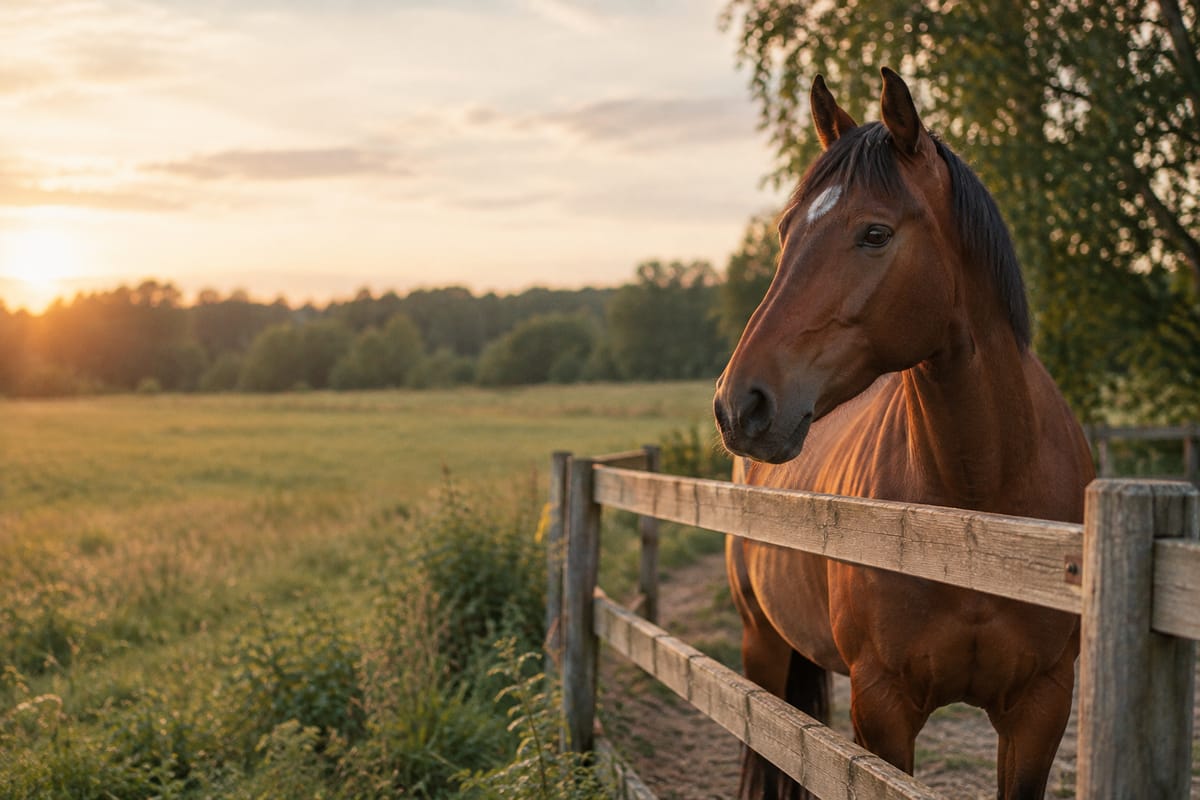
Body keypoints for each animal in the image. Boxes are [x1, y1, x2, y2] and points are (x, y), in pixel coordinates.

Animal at [713, 68, 1094, 800]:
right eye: (786, 231)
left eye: (874, 234)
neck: (976, 521)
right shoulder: (883, 707)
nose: (740, 405)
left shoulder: (1041, 708)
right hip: (759, 643)